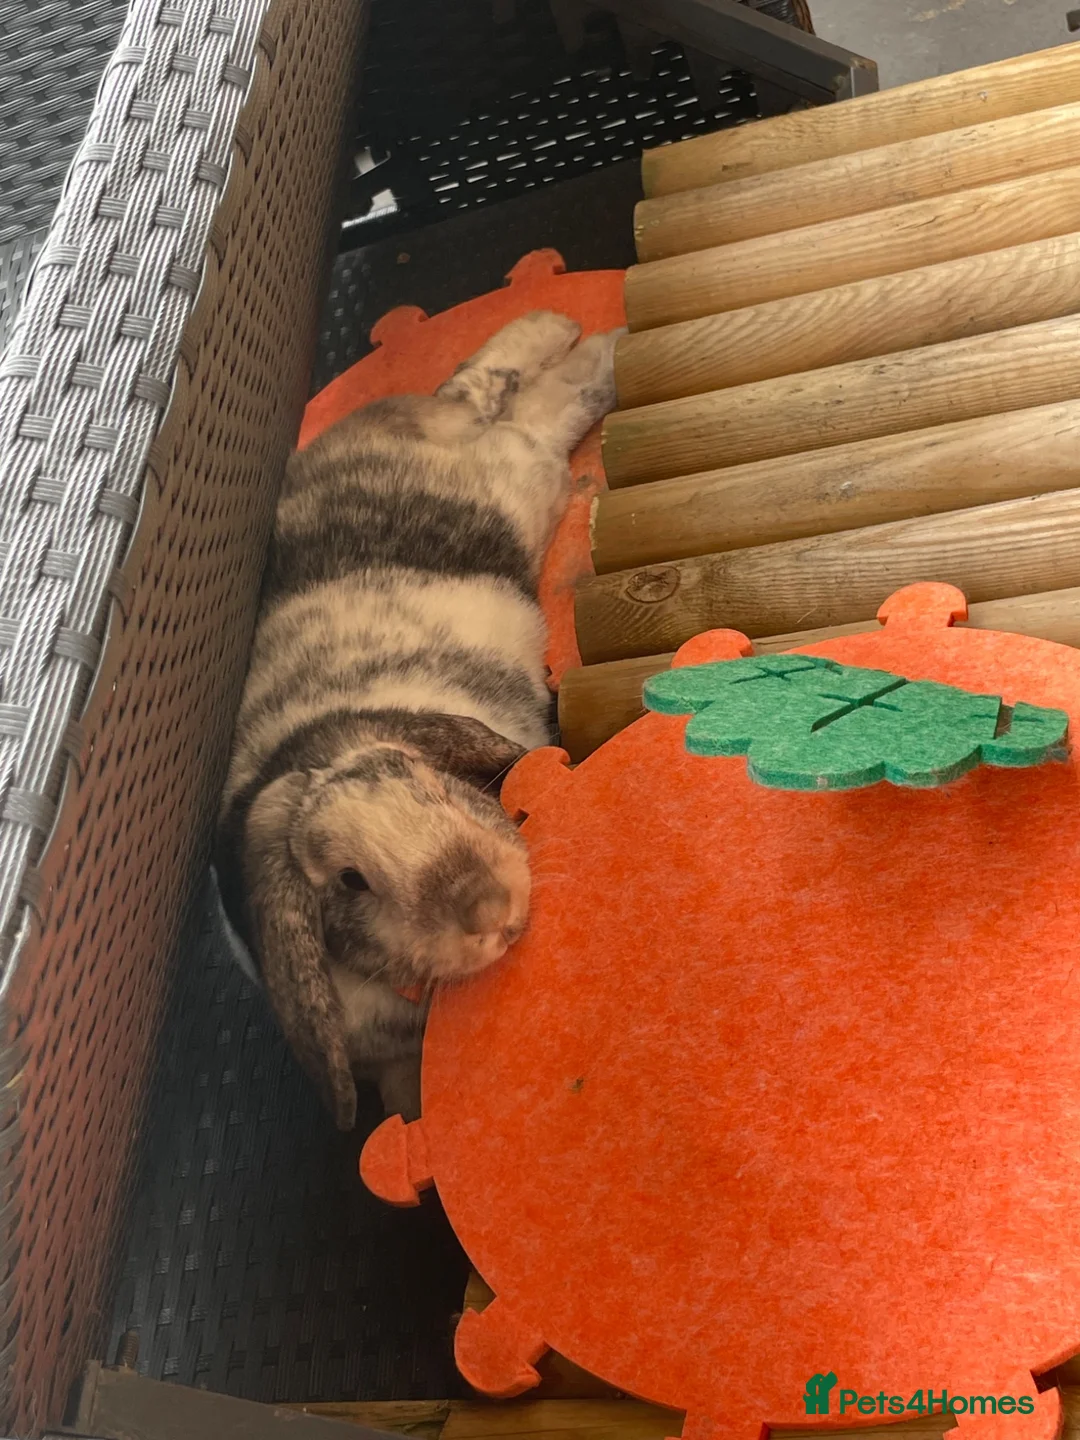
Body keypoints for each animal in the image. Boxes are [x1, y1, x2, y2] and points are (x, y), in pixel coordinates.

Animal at [214, 310, 620, 1131]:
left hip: (521, 478)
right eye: (350, 882)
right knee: (494, 395)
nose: (488, 906)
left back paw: (587, 343)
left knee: (524, 408)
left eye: (428, 783)